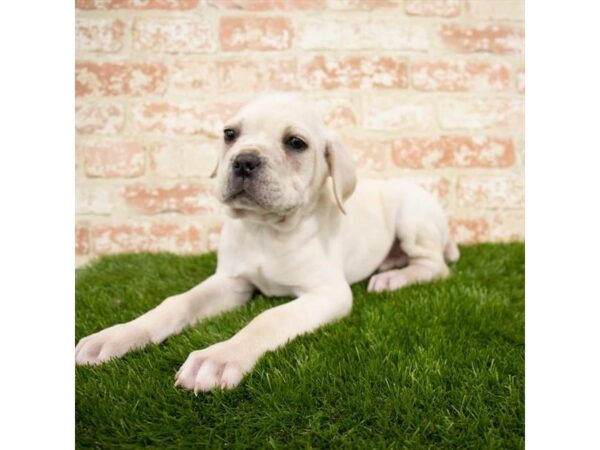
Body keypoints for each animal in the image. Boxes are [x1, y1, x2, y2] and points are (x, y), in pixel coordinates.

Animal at [75, 96, 460, 394]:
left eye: (296, 143)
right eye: (230, 134)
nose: (244, 161)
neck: (265, 230)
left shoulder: (327, 293)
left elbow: (269, 318)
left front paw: (219, 357)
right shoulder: (230, 282)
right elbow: (177, 302)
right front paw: (120, 335)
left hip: (412, 216)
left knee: (436, 266)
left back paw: (394, 277)